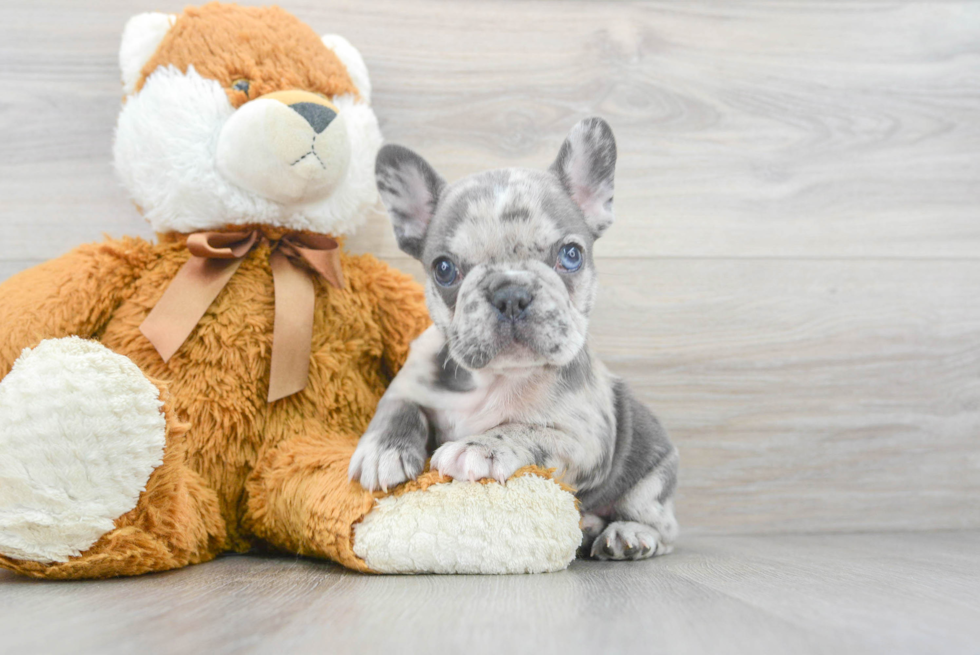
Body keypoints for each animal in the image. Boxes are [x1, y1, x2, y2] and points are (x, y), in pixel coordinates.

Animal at [348, 118, 676, 560]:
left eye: (571, 255)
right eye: (444, 269)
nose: (510, 293)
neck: (495, 378)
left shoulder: (585, 438)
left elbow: (526, 429)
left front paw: (480, 446)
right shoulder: (408, 381)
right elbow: (396, 407)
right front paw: (382, 450)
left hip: (651, 480)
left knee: (663, 526)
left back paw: (626, 534)